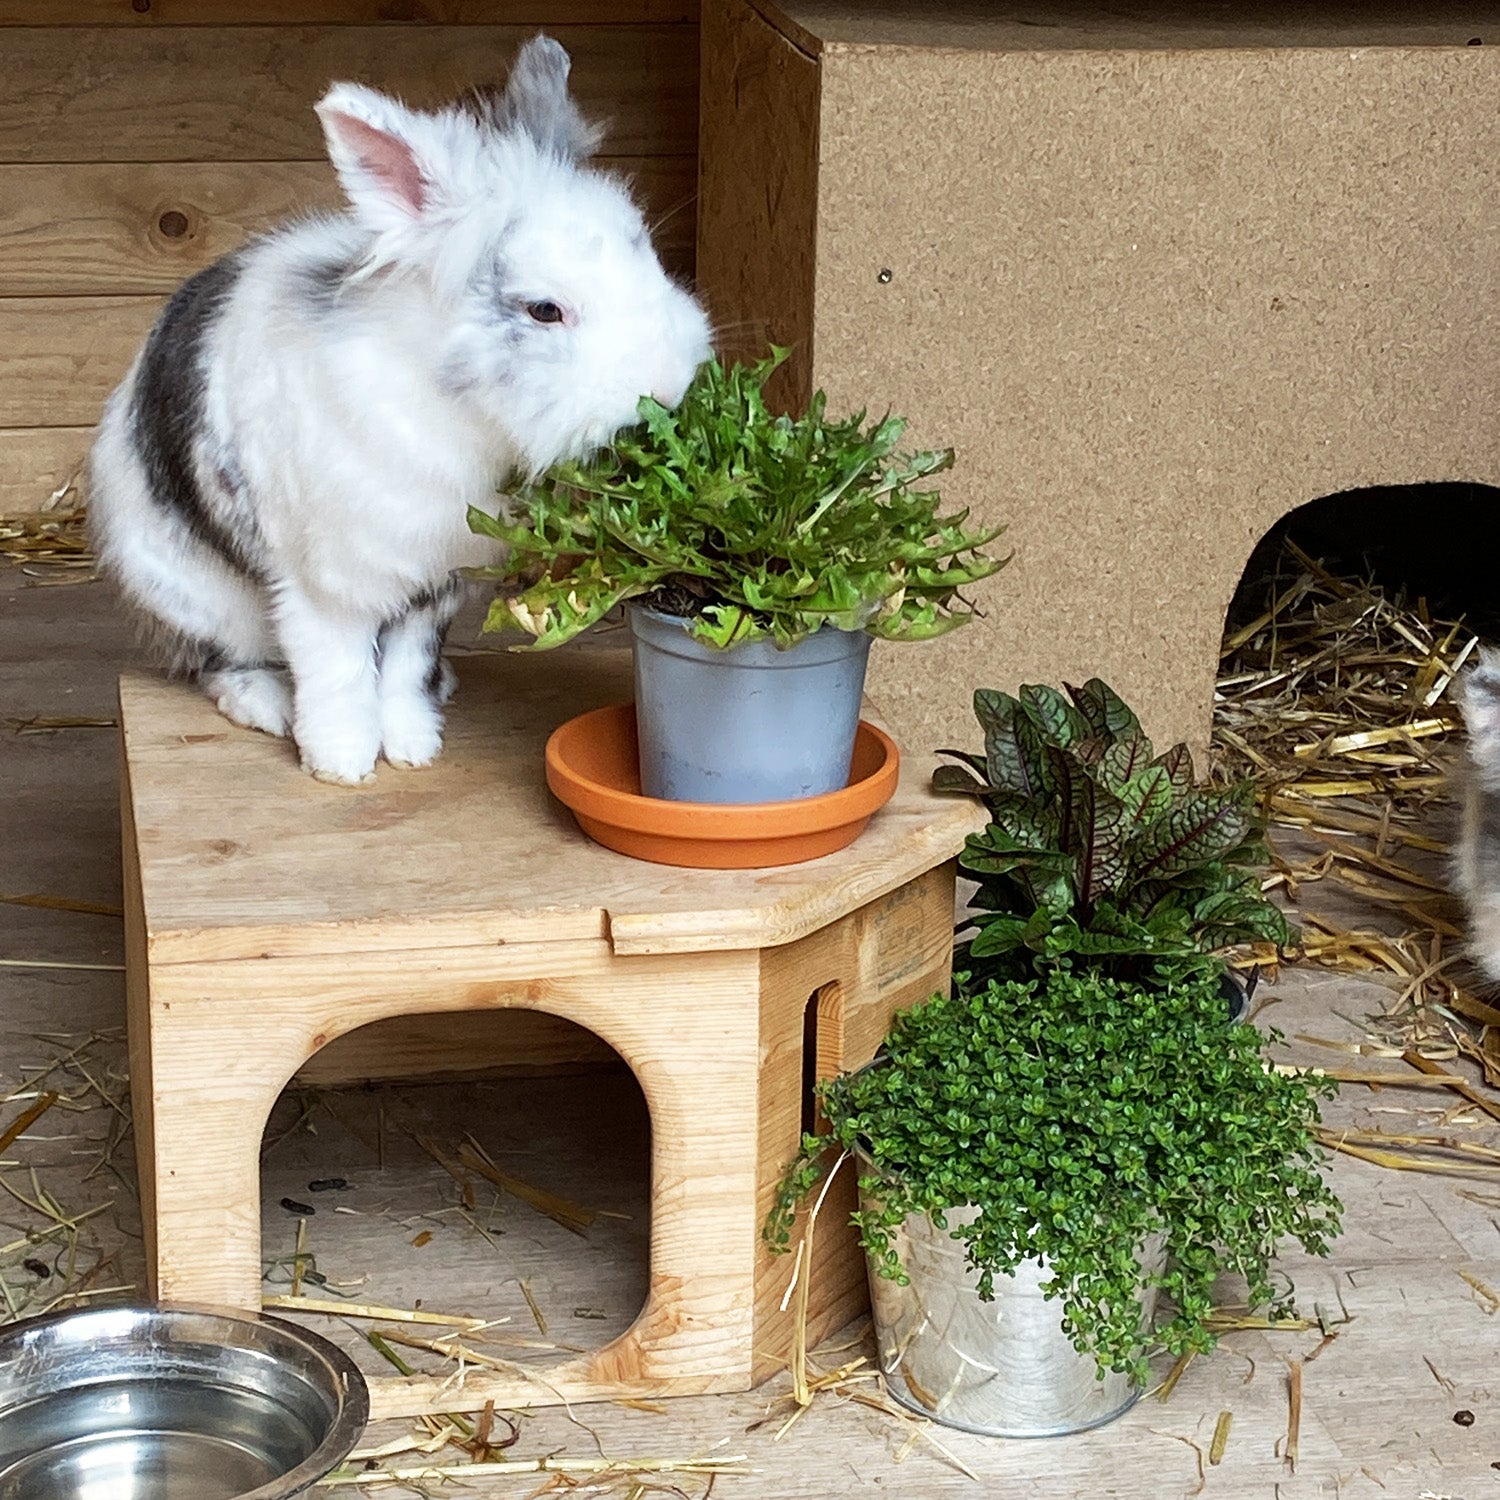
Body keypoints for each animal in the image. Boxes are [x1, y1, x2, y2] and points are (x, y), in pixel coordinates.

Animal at [90, 35, 711, 786]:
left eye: (649, 263)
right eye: (544, 309)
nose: (667, 391)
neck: (457, 407)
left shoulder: (435, 582)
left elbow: (405, 668)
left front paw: (414, 745)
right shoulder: (325, 586)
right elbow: (337, 671)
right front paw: (342, 763)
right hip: (197, 598)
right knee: (217, 663)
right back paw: (267, 704)